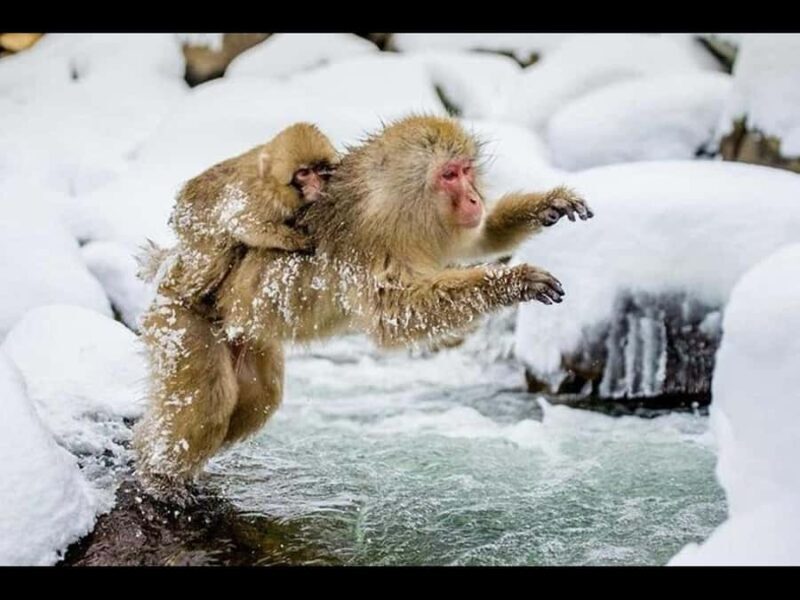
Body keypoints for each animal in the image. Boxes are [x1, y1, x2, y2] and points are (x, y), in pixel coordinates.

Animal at [158, 122, 339, 311]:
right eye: (304, 173)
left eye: (320, 170)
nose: (317, 184)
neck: (272, 183)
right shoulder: (259, 196)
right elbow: (240, 222)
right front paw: (295, 240)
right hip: (193, 226)